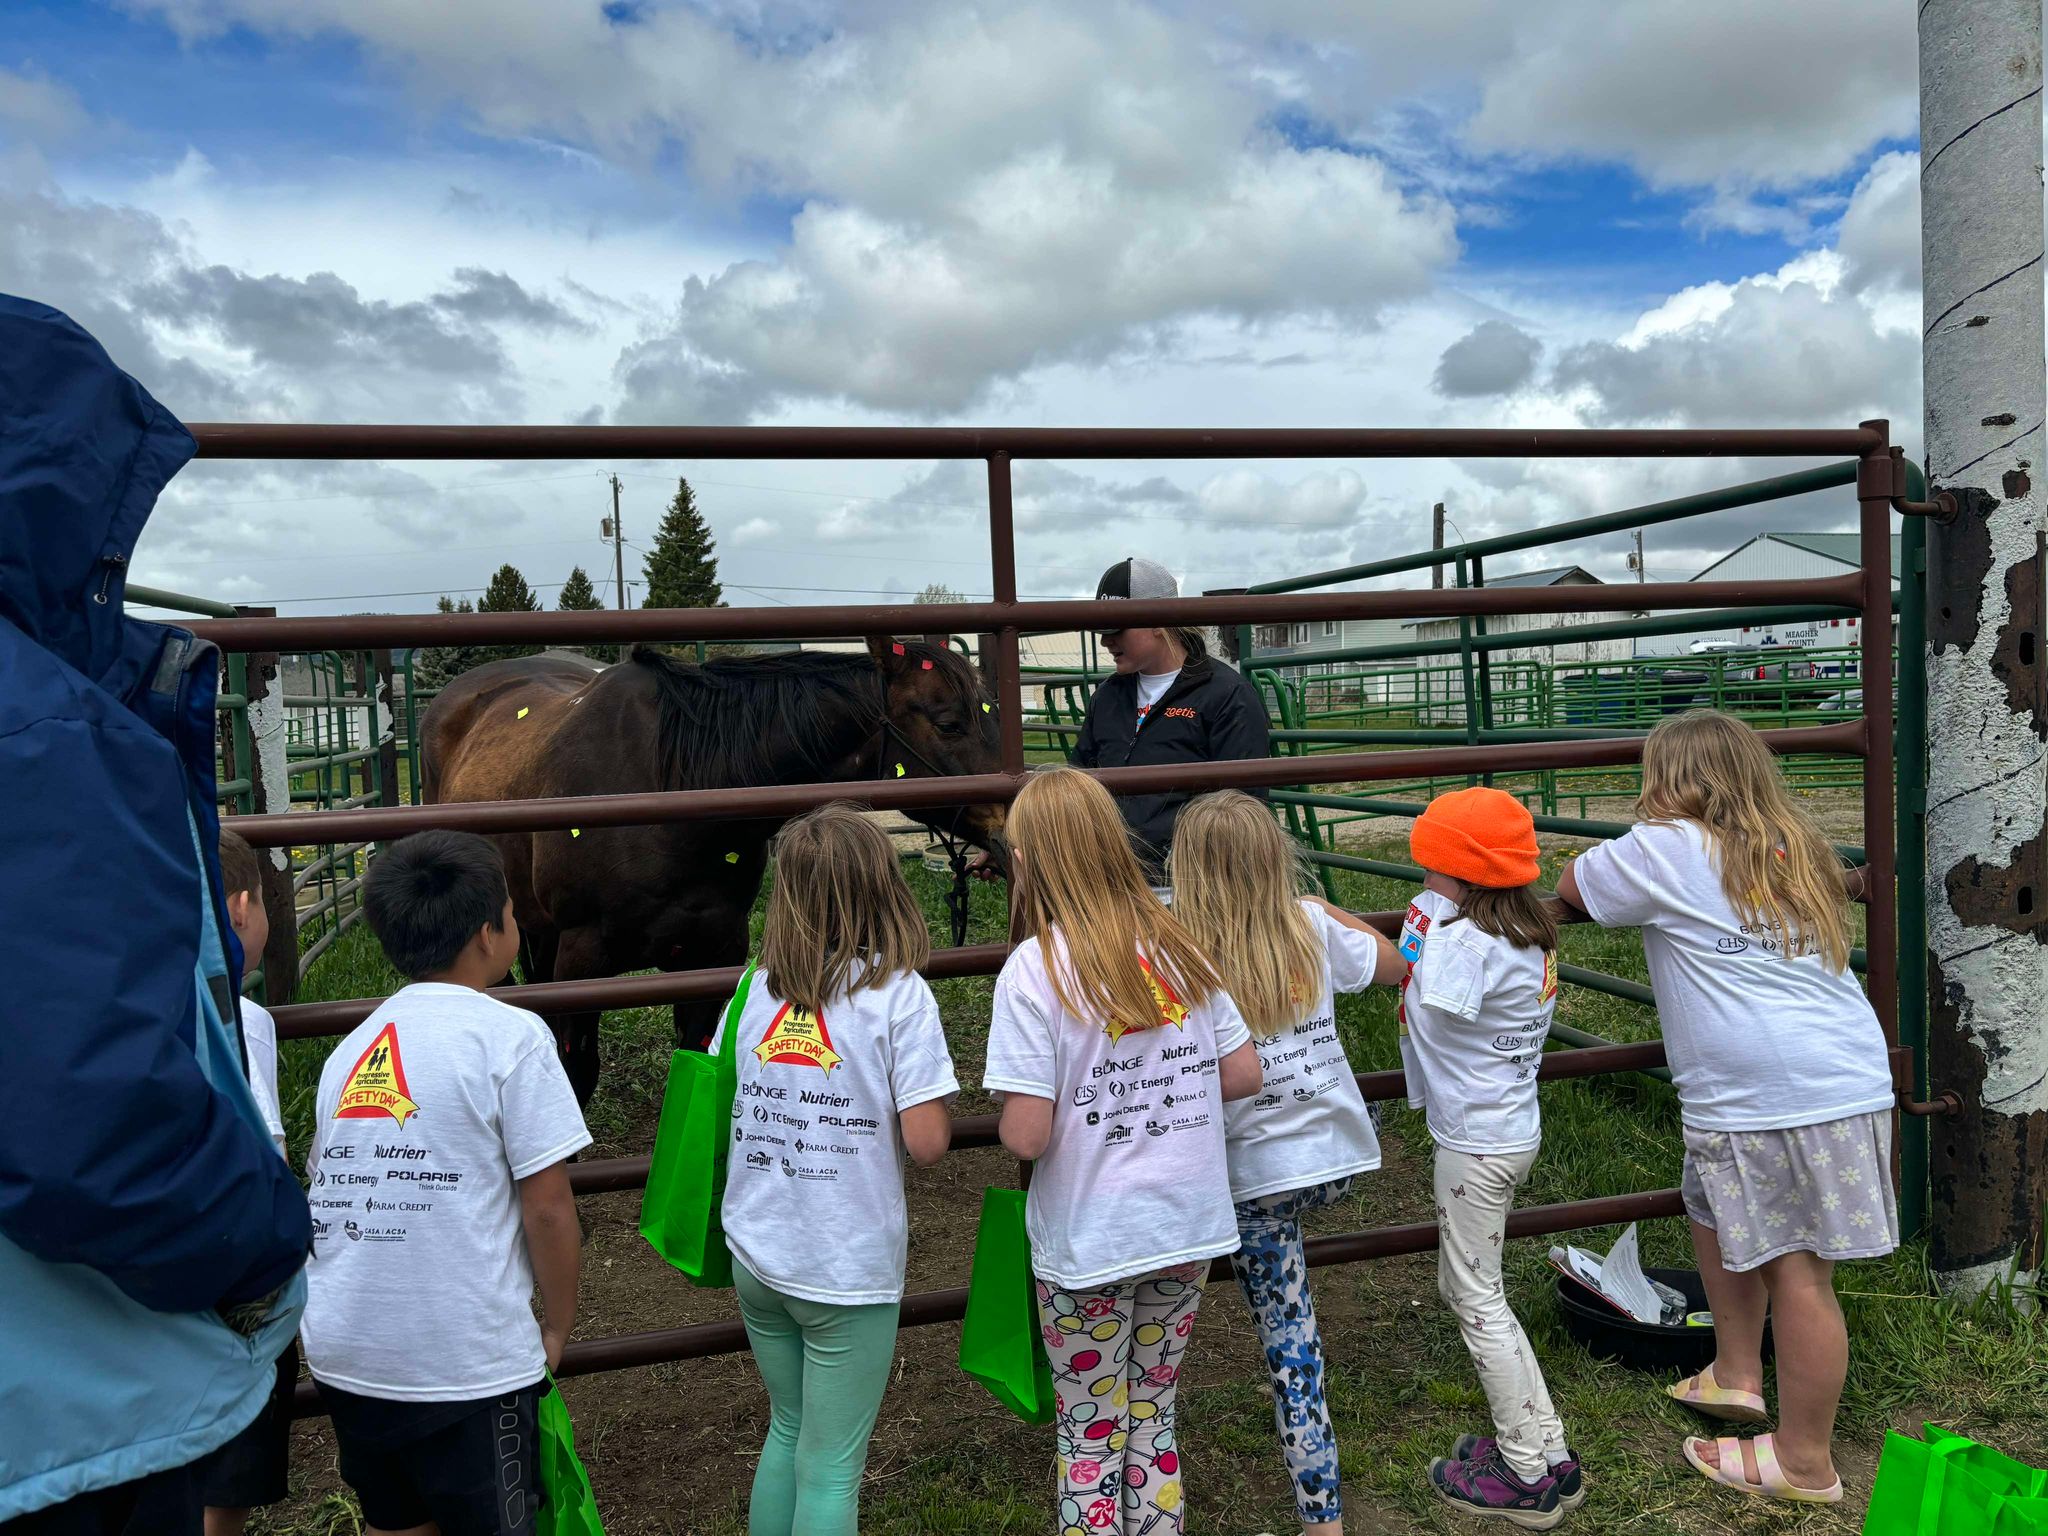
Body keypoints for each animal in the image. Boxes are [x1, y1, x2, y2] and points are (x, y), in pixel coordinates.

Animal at [421, 638, 1007, 1105]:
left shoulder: (713, 952)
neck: (671, 791)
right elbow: (579, 1073)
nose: (1008, 822)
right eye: (949, 724)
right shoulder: (582, 963)